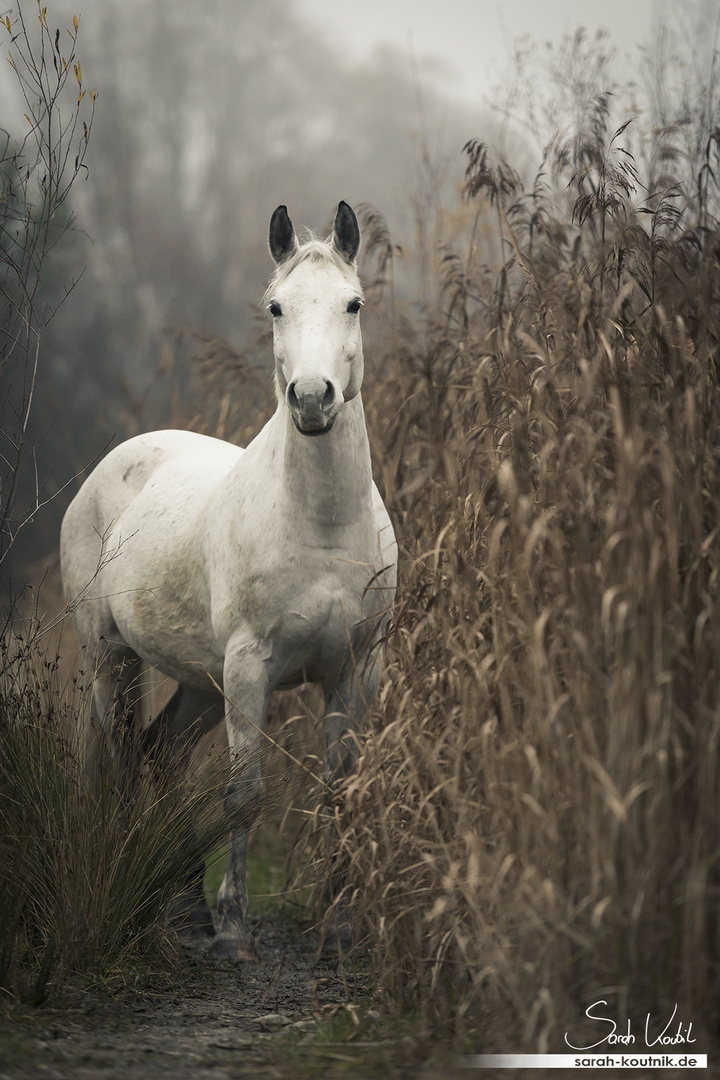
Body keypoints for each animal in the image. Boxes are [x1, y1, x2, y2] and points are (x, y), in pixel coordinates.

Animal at [60, 203, 399, 963]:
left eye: (354, 303)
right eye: (276, 307)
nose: (312, 400)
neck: (323, 528)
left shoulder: (353, 668)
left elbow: (340, 792)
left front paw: (339, 931)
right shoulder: (250, 668)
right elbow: (245, 796)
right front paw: (235, 931)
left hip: (198, 680)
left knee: (160, 754)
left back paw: (186, 907)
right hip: (113, 661)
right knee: (119, 764)